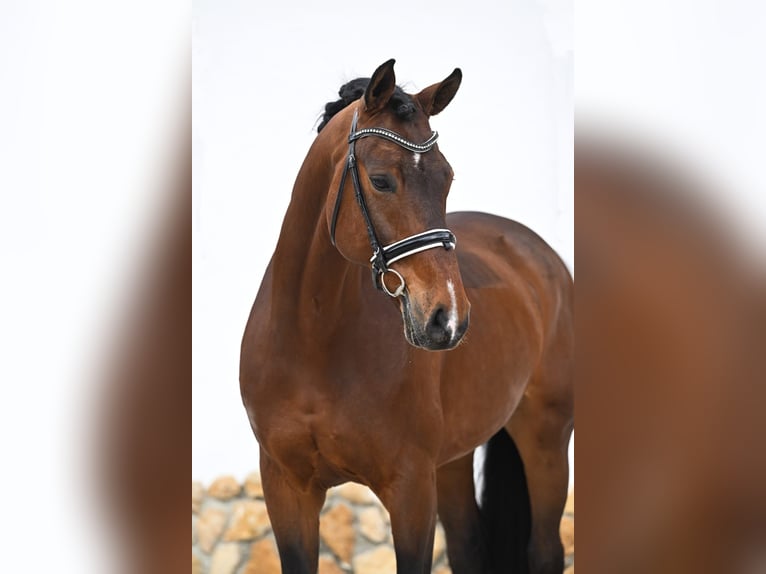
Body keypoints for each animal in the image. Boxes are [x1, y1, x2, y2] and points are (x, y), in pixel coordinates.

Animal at [240, 59, 574, 574]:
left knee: (545, 551)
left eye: (447, 178)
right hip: (453, 461)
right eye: (380, 180)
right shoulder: (285, 489)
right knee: (468, 546)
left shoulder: (411, 490)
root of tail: (536, 250)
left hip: (546, 439)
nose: (446, 318)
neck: (312, 340)